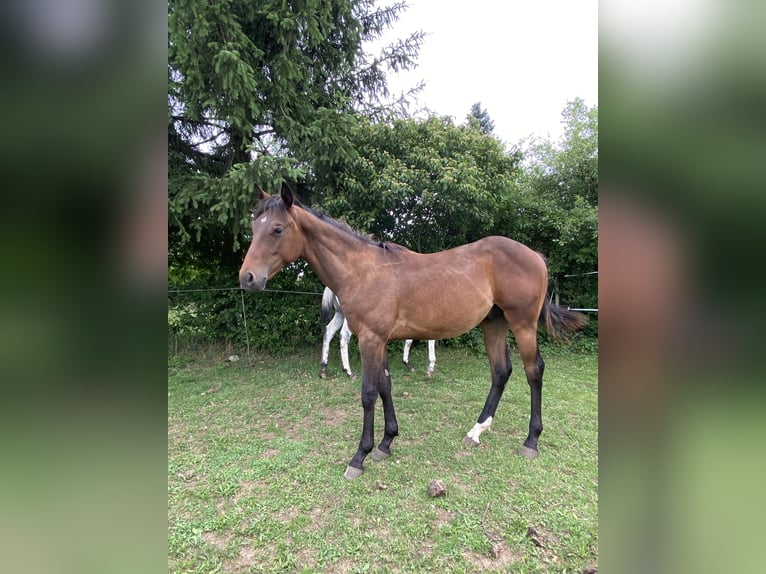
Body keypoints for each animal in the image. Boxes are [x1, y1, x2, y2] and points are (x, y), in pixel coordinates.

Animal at [239, 184, 587, 480]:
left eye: (277, 229)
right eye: (254, 228)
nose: (248, 278)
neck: (363, 271)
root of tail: (535, 256)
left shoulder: (370, 340)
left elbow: (368, 393)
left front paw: (359, 457)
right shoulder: (379, 340)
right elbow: (385, 387)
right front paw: (386, 443)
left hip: (523, 324)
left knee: (533, 370)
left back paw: (531, 440)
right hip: (494, 324)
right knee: (501, 371)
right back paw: (476, 431)